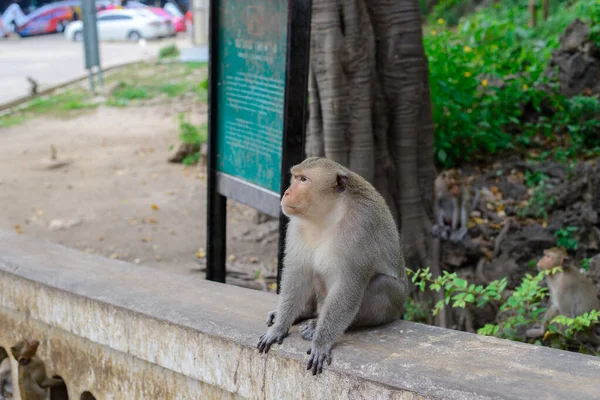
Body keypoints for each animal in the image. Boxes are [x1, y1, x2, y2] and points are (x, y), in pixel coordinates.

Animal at [255, 156, 410, 376]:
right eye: (295, 177)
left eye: (303, 179)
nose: (286, 192)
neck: (328, 215)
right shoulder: (297, 224)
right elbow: (297, 273)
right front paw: (279, 327)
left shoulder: (361, 228)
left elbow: (348, 286)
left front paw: (321, 342)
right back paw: (303, 314)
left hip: (394, 304)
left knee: (382, 283)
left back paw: (317, 325)